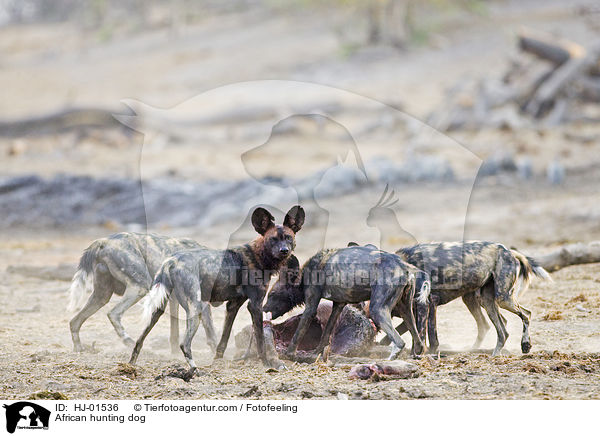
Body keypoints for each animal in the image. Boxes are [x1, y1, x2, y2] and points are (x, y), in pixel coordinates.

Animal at [67, 233, 216, 352]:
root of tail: (103, 241)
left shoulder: (173, 299)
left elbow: (174, 332)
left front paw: (175, 353)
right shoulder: (199, 302)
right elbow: (211, 333)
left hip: (102, 296)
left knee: (74, 321)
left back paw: (79, 348)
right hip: (140, 286)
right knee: (113, 313)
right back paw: (129, 341)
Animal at [128, 206, 302, 372]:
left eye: (289, 238)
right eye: (273, 239)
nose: (284, 250)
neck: (259, 255)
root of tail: (171, 261)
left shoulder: (233, 305)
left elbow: (223, 339)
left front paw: (218, 360)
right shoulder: (255, 305)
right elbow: (260, 341)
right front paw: (267, 364)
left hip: (157, 310)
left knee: (139, 340)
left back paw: (130, 365)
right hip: (197, 308)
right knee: (184, 344)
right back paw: (195, 370)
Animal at [264, 245, 428, 362]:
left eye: (272, 294)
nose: (264, 309)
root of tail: (404, 266)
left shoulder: (310, 307)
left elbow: (298, 334)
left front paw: (289, 354)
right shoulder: (338, 306)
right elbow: (326, 334)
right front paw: (316, 353)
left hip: (377, 310)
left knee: (399, 342)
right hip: (406, 310)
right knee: (418, 342)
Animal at [386, 240, 552, 356]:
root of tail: (508, 251)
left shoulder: (428, 303)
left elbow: (429, 337)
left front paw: (424, 354)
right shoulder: (414, 309)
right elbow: (413, 334)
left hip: (503, 299)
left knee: (526, 314)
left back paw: (525, 345)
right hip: (486, 301)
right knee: (502, 330)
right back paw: (492, 353)